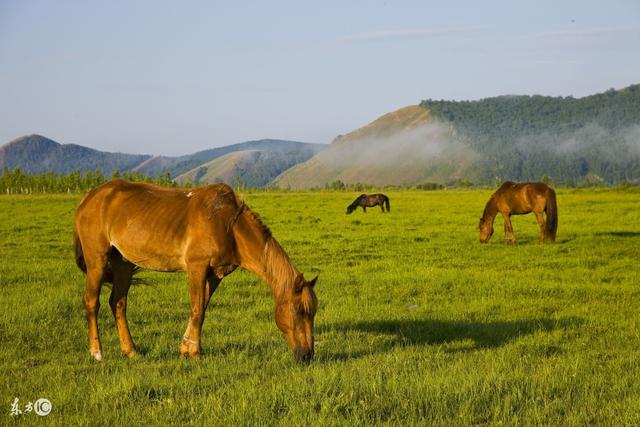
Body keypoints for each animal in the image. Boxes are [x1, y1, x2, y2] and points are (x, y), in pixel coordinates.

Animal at [74, 181, 318, 364]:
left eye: (312, 313)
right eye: (299, 311)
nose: (307, 356)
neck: (229, 224)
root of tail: (89, 198)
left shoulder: (215, 275)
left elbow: (202, 309)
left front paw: (185, 349)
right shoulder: (196, 268)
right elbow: (197, 310)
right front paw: (195, 353)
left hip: (123, 263)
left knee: (118, 302)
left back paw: (130, 350)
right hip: (97, 261)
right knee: (91, 302)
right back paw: (97, 353)